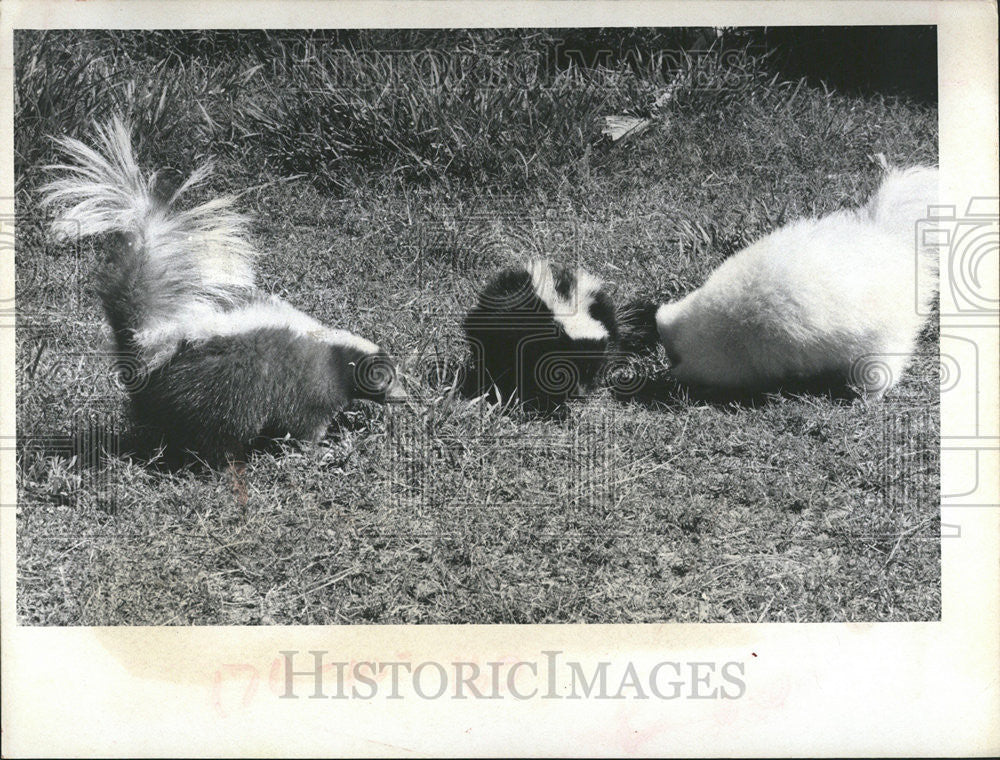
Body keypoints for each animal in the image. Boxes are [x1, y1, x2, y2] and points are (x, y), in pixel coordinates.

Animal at [42, 118, 402, 464]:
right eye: (383, 376)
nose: (403, 395)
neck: (334, 350)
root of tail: (154, 336)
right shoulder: (309, 386)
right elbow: (306, 423)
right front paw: (318, 448)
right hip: (217, 388)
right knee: (217, 428)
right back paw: (218, 461)